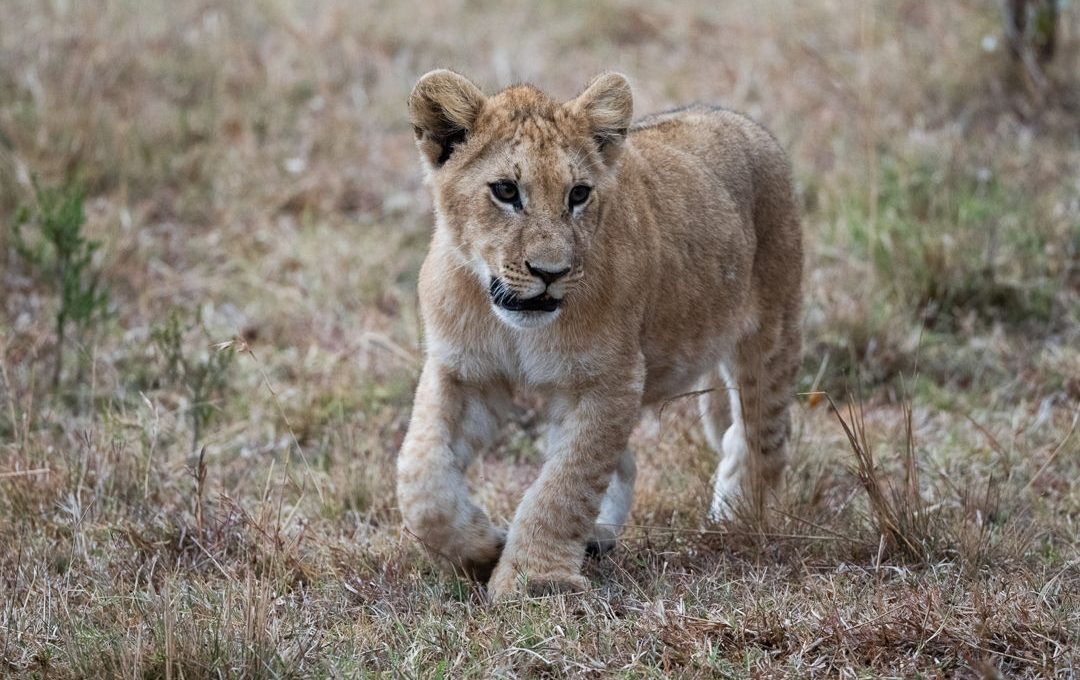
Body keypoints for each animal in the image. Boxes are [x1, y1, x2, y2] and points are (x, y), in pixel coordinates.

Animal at [396, 70, 803, 600]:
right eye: (505, 191)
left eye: (578, 194)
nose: (550, 273)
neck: (511, 324)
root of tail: (738, 120)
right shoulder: (464, 373)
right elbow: (422, 479)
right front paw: (481, 548)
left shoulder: (610, 380)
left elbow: (564, 486)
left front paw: (534, 581)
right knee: (630, 463)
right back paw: (598, 538)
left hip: (771, 333)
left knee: (761, 437)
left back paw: (739, 522)